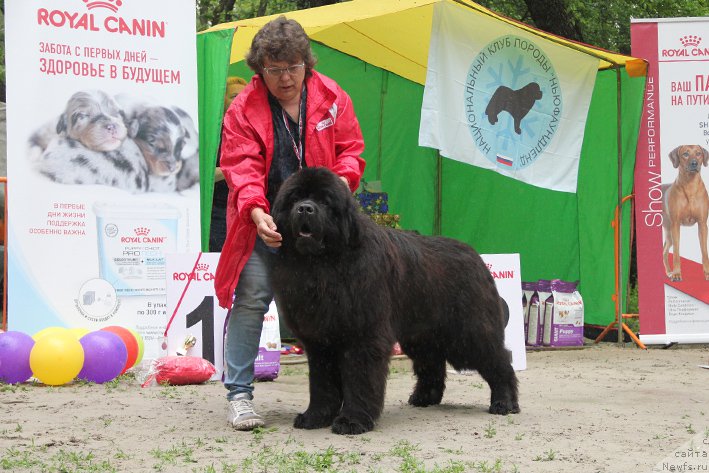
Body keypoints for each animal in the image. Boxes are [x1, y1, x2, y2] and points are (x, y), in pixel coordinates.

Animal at [268, 167, 516, 436]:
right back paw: (424, 398)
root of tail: (477, 258)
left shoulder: (364, 337)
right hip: (422, 335)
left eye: (324, 201)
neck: (325, 266)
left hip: (467, 334)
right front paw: (315, 416)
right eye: (294, 199)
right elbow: (321, 384)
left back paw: (505, 402)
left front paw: (352, 420)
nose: (305, 208)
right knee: (432, 364)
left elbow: (360, 379)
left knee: (499, 360)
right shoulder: (319, 343)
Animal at [660, 144, 708, 280]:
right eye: (685, 154)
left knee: (664, 251)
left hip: (668, 232)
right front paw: (677, 273)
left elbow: (704, 252)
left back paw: (668, 272)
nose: (694, 163)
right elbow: (676, 252)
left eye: (698, 153)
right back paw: (671, 272)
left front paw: (707, 273)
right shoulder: (676, 224)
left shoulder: (702, 224)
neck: (690, 186)